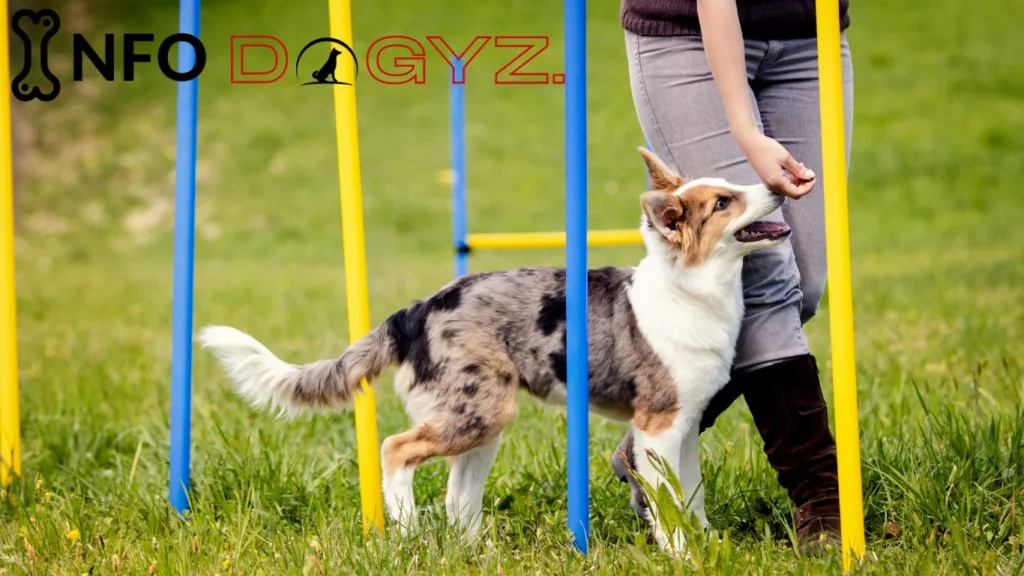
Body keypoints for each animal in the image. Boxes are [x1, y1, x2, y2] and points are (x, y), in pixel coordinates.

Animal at [197, 147, 790, 553]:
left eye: (730, 186)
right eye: (723, 202)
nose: (778, 183)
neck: (692, 291)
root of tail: (416, 311)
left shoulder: (684, 428)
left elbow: (692, 496)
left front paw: (704, 544)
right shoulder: (658, 426)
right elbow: (669, 505)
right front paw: (682, 554)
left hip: (484, 419)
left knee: (458, 494)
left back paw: (468, 549)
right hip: (478, 411)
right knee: (395, 449)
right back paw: (407, 533)